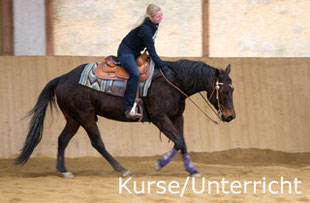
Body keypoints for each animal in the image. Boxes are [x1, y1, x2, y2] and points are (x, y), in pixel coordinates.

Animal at [13, 58, 235, 178]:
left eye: (232, 89)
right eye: (223, 91)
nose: (231, 116)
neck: (172, 81)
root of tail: (62, 78)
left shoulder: (176, 117)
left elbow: (182, 143)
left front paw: (192, 170)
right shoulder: (160, 118)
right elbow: (179, 141)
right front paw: (159, 163)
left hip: (73, 119)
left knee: (62, 140)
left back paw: (63, 170)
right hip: (85, 117)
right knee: (97, 143)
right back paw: (122, 169)